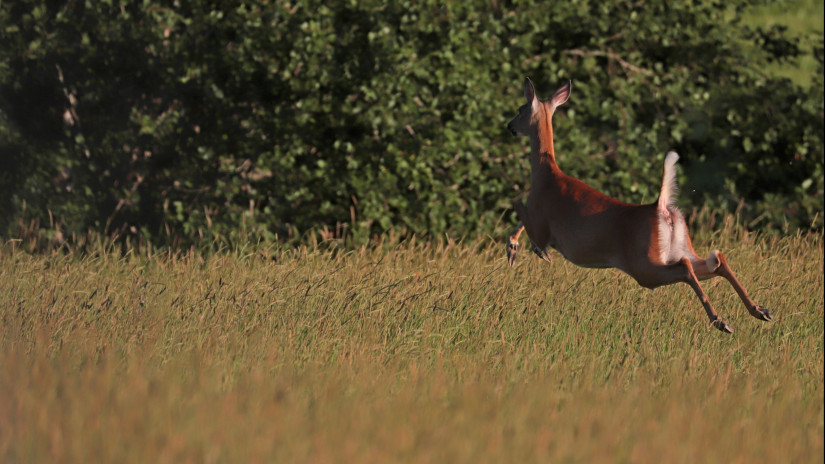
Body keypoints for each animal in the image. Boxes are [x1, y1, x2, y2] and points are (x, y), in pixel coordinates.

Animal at [502, 80, 772, 334]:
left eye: (520, 109)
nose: (509, 127)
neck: (547, 175)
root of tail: (660, 207)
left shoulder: (542, 225)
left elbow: (519, 204)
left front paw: (519, 250)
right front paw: (513, 247)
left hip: (644, 265)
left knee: (687, 268)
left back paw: (721, 321)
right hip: (676, 249)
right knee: (716, 260)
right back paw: (760, 311)